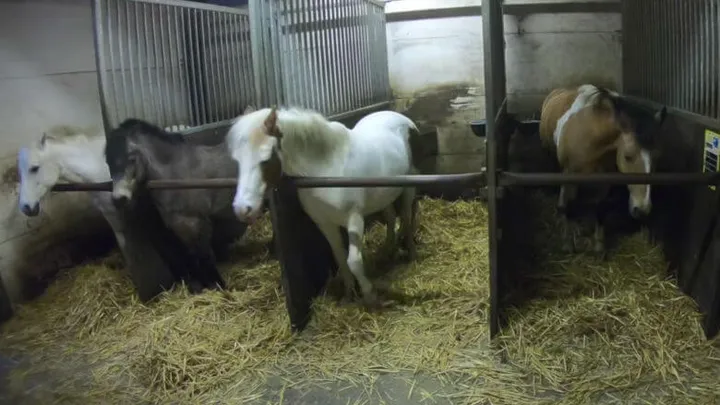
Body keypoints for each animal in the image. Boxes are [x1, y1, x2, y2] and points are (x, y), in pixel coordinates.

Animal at [105, 117, 249, 293]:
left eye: (131, 159)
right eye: (108, 163)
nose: (119, 199)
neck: (175, 176)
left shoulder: (195, 223)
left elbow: (204, 255)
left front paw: (217, 285)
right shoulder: (179, 226)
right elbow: (190, 256)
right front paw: (198, 286)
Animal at [226, 106, 419, 309]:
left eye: (264, 159)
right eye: (237, 160)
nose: (242, 209)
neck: (325, 169)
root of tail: (401, 117)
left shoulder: (354, 219)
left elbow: (354, 261)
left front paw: (370, 296)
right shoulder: (324, 222)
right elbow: (340, 257)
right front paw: (348, 294)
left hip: (408, 188)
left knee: (406, 217)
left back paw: (411, 254)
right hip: (385, 193)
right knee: (391, 216)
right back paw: (387, 250)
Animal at [539, 84, 667, 255]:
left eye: (657, 156)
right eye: (628, 156)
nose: (642, 210)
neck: (590, 137)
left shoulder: (605, 178)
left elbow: (601, 207)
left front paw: (599, 247)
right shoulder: (568, 174)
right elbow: (564, 206)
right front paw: (567, 243)